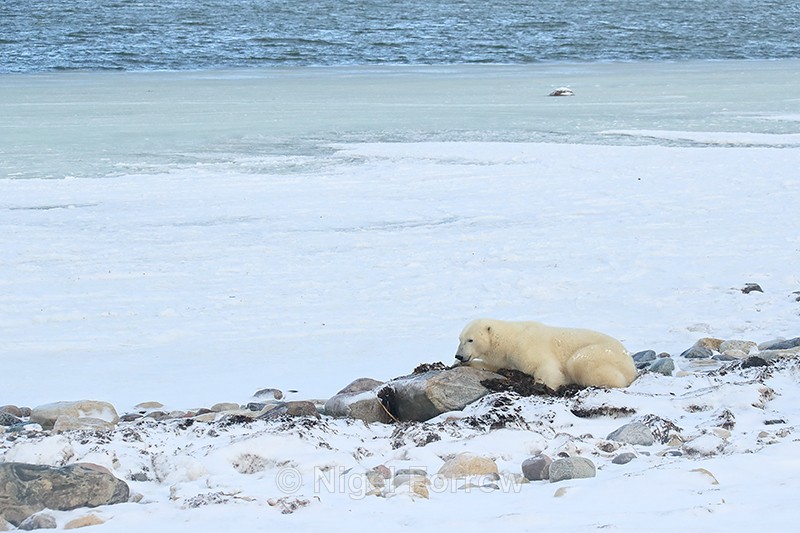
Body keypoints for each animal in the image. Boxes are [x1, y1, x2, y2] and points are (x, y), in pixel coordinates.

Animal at [454, 318, 637, 390]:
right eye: (460, 339)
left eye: (470, 340)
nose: (459, 356)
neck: (511, 339)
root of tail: (632, 365)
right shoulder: (506, 359)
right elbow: (492, 366)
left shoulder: (527, 346)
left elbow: (545, 367)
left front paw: (544, 385)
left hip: (601, 354)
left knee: (579, 362)